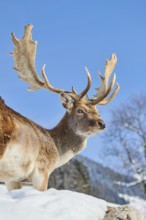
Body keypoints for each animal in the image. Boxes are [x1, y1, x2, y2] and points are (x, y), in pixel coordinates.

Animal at [0, 24, 120, 191]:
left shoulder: (13, 180)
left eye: (98, 111)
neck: (56, 154)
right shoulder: (41, 170)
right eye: (80, 110)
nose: (102, 123)